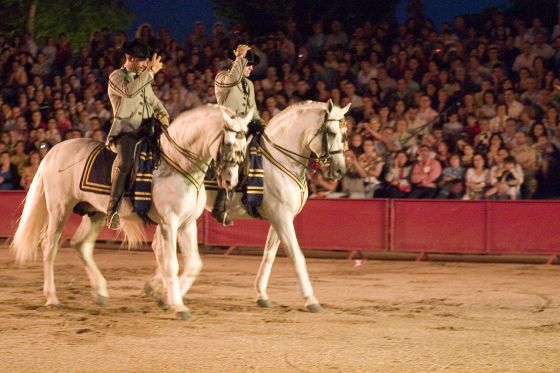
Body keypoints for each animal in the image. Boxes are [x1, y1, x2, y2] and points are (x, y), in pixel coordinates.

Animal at [9, 105, 250, 320]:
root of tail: (53, 151)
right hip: (60, 209)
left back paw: (100, 292)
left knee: (80, 244)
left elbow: (193, 264)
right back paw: (52, 298)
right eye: (228, 143)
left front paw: (165, 298)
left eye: (245, 144)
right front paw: (177, 306)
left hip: (95, 214)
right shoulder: (169, 223)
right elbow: (171, 264)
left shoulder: (187, 224)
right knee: (49, 248)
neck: (177, 163)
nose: (231, 180)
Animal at [149, 99, 350, 310]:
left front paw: (262, 294)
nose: (339, 170)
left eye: (344, 134)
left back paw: (156, 287)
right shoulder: (282, 217)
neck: (281, 158)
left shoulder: (280, 219)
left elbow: (269, 254)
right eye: (332, 132)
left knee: (158, 246)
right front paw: (311, 299)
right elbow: (296, 256)